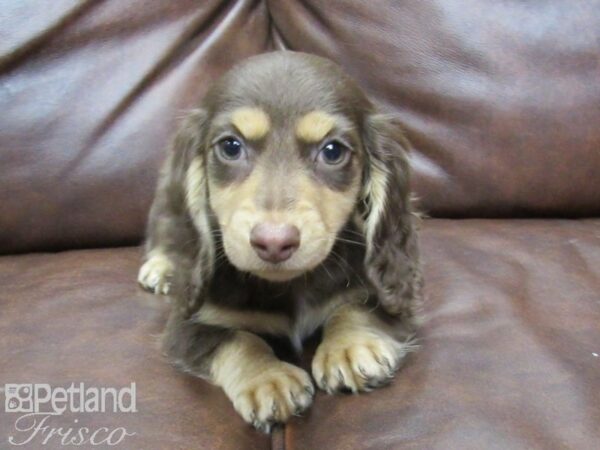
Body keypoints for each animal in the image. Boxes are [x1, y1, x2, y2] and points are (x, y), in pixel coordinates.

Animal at [137, 50, 422, 432]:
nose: (273, 243)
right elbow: (237, 339)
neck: (289, 286)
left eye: (333, 151)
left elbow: (356, 307)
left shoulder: (388, 296)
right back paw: (161, 268)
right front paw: (267, 378)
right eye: (231, 146)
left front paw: (350, 346)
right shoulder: (186, 327)